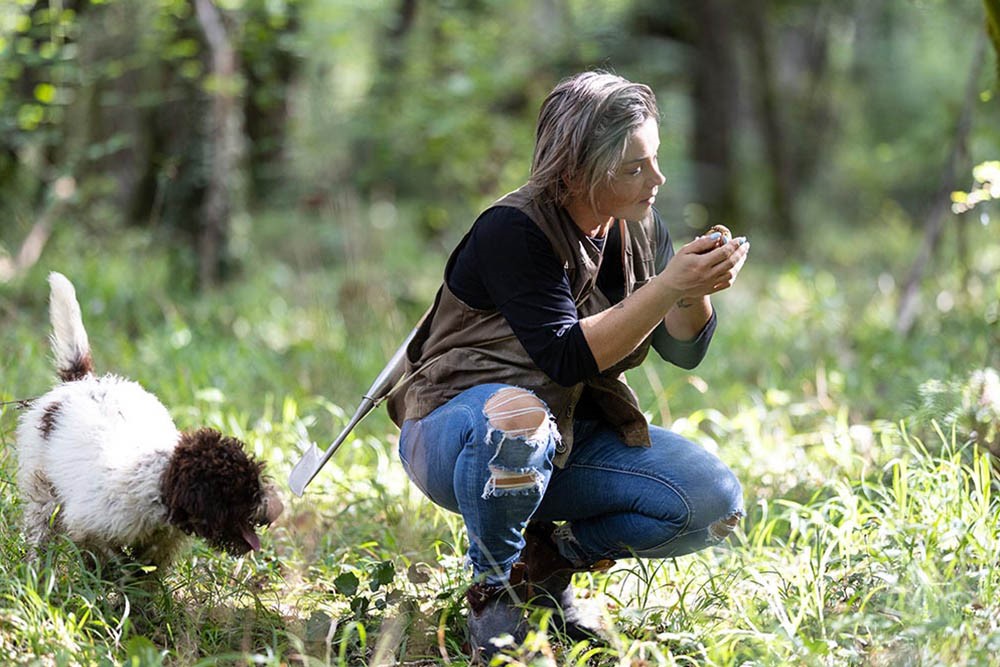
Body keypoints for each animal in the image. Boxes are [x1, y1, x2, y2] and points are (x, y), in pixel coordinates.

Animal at [15, 272, 284, 568]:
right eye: (245, 490)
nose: (278, 509)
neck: (159, 483)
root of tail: (80, 382)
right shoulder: (89, 527)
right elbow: (110, 561)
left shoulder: (162, 544)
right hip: (40, 482)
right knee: (40, 523)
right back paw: (36, 568)